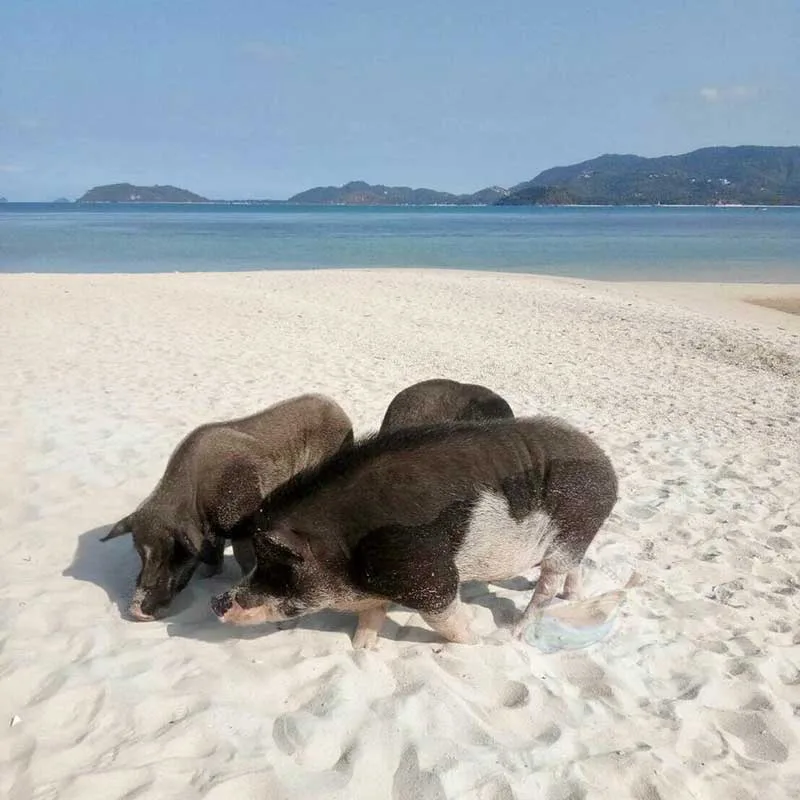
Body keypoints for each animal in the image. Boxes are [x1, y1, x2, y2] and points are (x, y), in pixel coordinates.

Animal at [101, 394, 353, 621]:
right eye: (139, 552)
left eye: (174, 552)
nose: (135, 612)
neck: (197, 506)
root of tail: (339, 409)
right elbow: (213, 561)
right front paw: (208, 578)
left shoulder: (242, 519)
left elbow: (243, 558)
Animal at [211, 415, 618, 648]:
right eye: (259, 560)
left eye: (279, 566)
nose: (217, 601)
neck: (342, 548)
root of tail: (606, 463)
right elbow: (371, 617)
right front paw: (361, 650)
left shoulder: (428, 576)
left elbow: (448, 618)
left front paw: (479, 643)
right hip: (575, 540)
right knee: (574, 570)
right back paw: (572, 598)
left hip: (572, 530)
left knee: (547, 586)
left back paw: (514, 634)